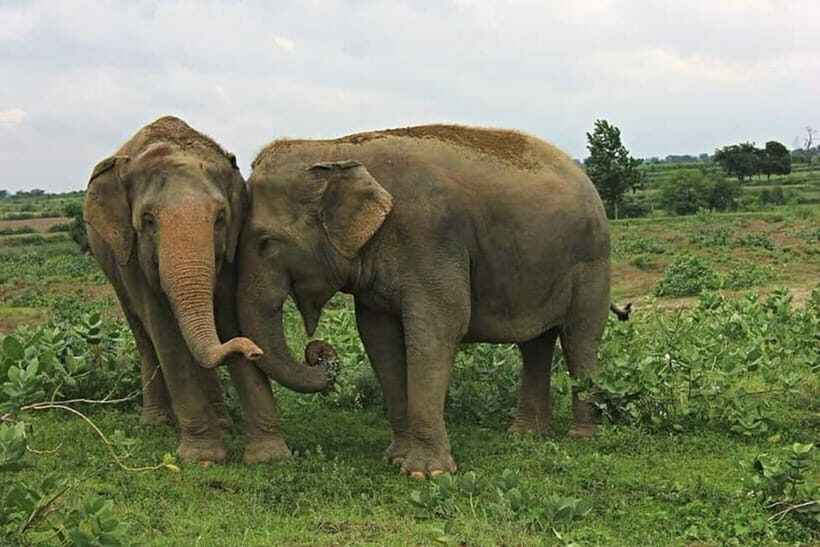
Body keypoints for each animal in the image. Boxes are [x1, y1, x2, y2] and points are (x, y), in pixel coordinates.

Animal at [84, 116, 333, 463]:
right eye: (147, 220)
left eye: (220, 217)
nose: (254, 350)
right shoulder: (131, 258)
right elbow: (166, 335)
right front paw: (202, 458)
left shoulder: (231, 251)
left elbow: (229, 317)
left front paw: (269, 457)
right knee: (146, 339)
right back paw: (156, 423)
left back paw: (223, 422)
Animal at [236, 124, 614, 479]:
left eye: (266, 243)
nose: (318, 351)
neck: (335, 148)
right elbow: (379, 339)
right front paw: (395, 460)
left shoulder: (430, 237)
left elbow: (439, 328)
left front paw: (425, 473)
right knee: (535, 344)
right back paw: (525, 435)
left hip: (592, 263)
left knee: (580, 338)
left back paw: (580, 436)